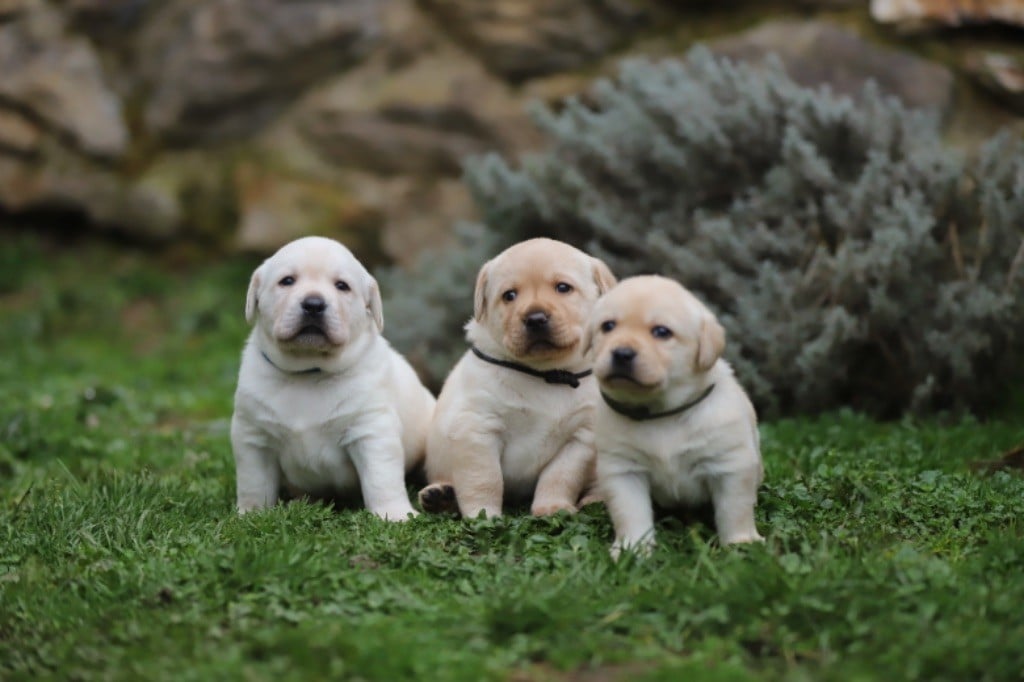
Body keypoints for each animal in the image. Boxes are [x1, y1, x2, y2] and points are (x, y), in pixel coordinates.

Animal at [230, 236, 434, 518]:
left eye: (341, 286)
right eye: (287, 281)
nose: (314, 305)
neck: (309, 371)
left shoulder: (371, 429)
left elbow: (381, 479)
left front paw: (394, 514)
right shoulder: (253, 435)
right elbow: (254, 483)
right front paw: (251, 514)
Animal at [417, 237, 610, 516]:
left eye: (563, 288)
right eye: (509, 295)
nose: (536, 318)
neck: (546, 374)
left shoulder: (580, 439)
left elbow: (560, 477)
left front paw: (552, 507)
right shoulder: (478, 428)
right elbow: (484, 478)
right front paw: (483, 514)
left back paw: (596, 500)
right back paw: (440, 496)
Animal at [589, 274, 765, 557]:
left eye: (662, 332)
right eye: (608, 326)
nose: (622, 353)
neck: (661, 413)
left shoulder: (729, 464)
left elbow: (734, 509)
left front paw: (740, 543)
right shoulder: (623, 470)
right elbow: (630, 513)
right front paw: (631, 549)